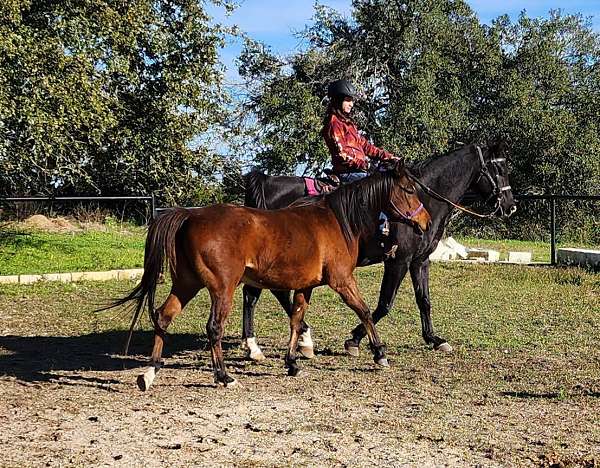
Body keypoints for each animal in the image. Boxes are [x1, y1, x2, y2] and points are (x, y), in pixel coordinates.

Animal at [110, 163, 432, 390]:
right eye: (408, 190)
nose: (426, 222)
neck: (337, 220)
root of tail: (191, 216)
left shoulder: (305, 285)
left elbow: (297, 319)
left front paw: (293, 361)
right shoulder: (342, 281)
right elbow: (364, 311)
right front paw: (379, 353)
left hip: (187, 284)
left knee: (163, 316)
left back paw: (150, 372)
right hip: (222, 288)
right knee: (214, 327)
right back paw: (223, 376)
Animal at [239, 142, 516, 358]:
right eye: (499, 169)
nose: (510, 206)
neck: (425, 200)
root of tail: (267, 183)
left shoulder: (420, 261)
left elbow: (424, 300)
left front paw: (434, 339)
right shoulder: (398, 261)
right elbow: (384, 304)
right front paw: (355, 339)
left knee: (261, 294)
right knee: (260, 294)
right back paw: (266, 345)